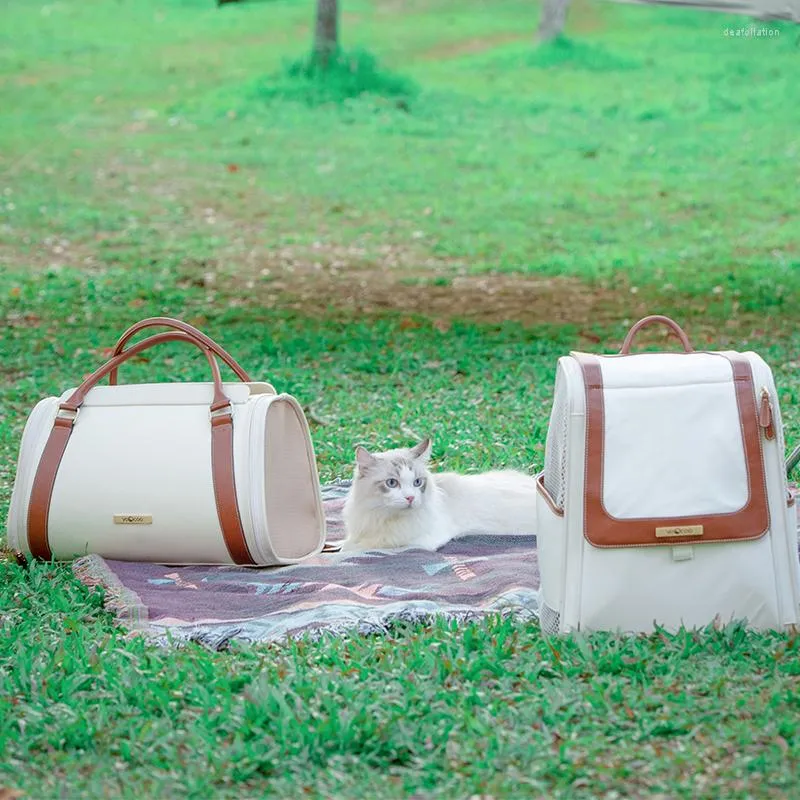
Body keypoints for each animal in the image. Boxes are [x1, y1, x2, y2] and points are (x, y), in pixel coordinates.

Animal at [340, 438, 536, 552]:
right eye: (392, 483)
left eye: (417, 482)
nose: (410, 498)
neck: (381, 516)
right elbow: (345, 544)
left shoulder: (413, 541)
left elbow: (355, 548)